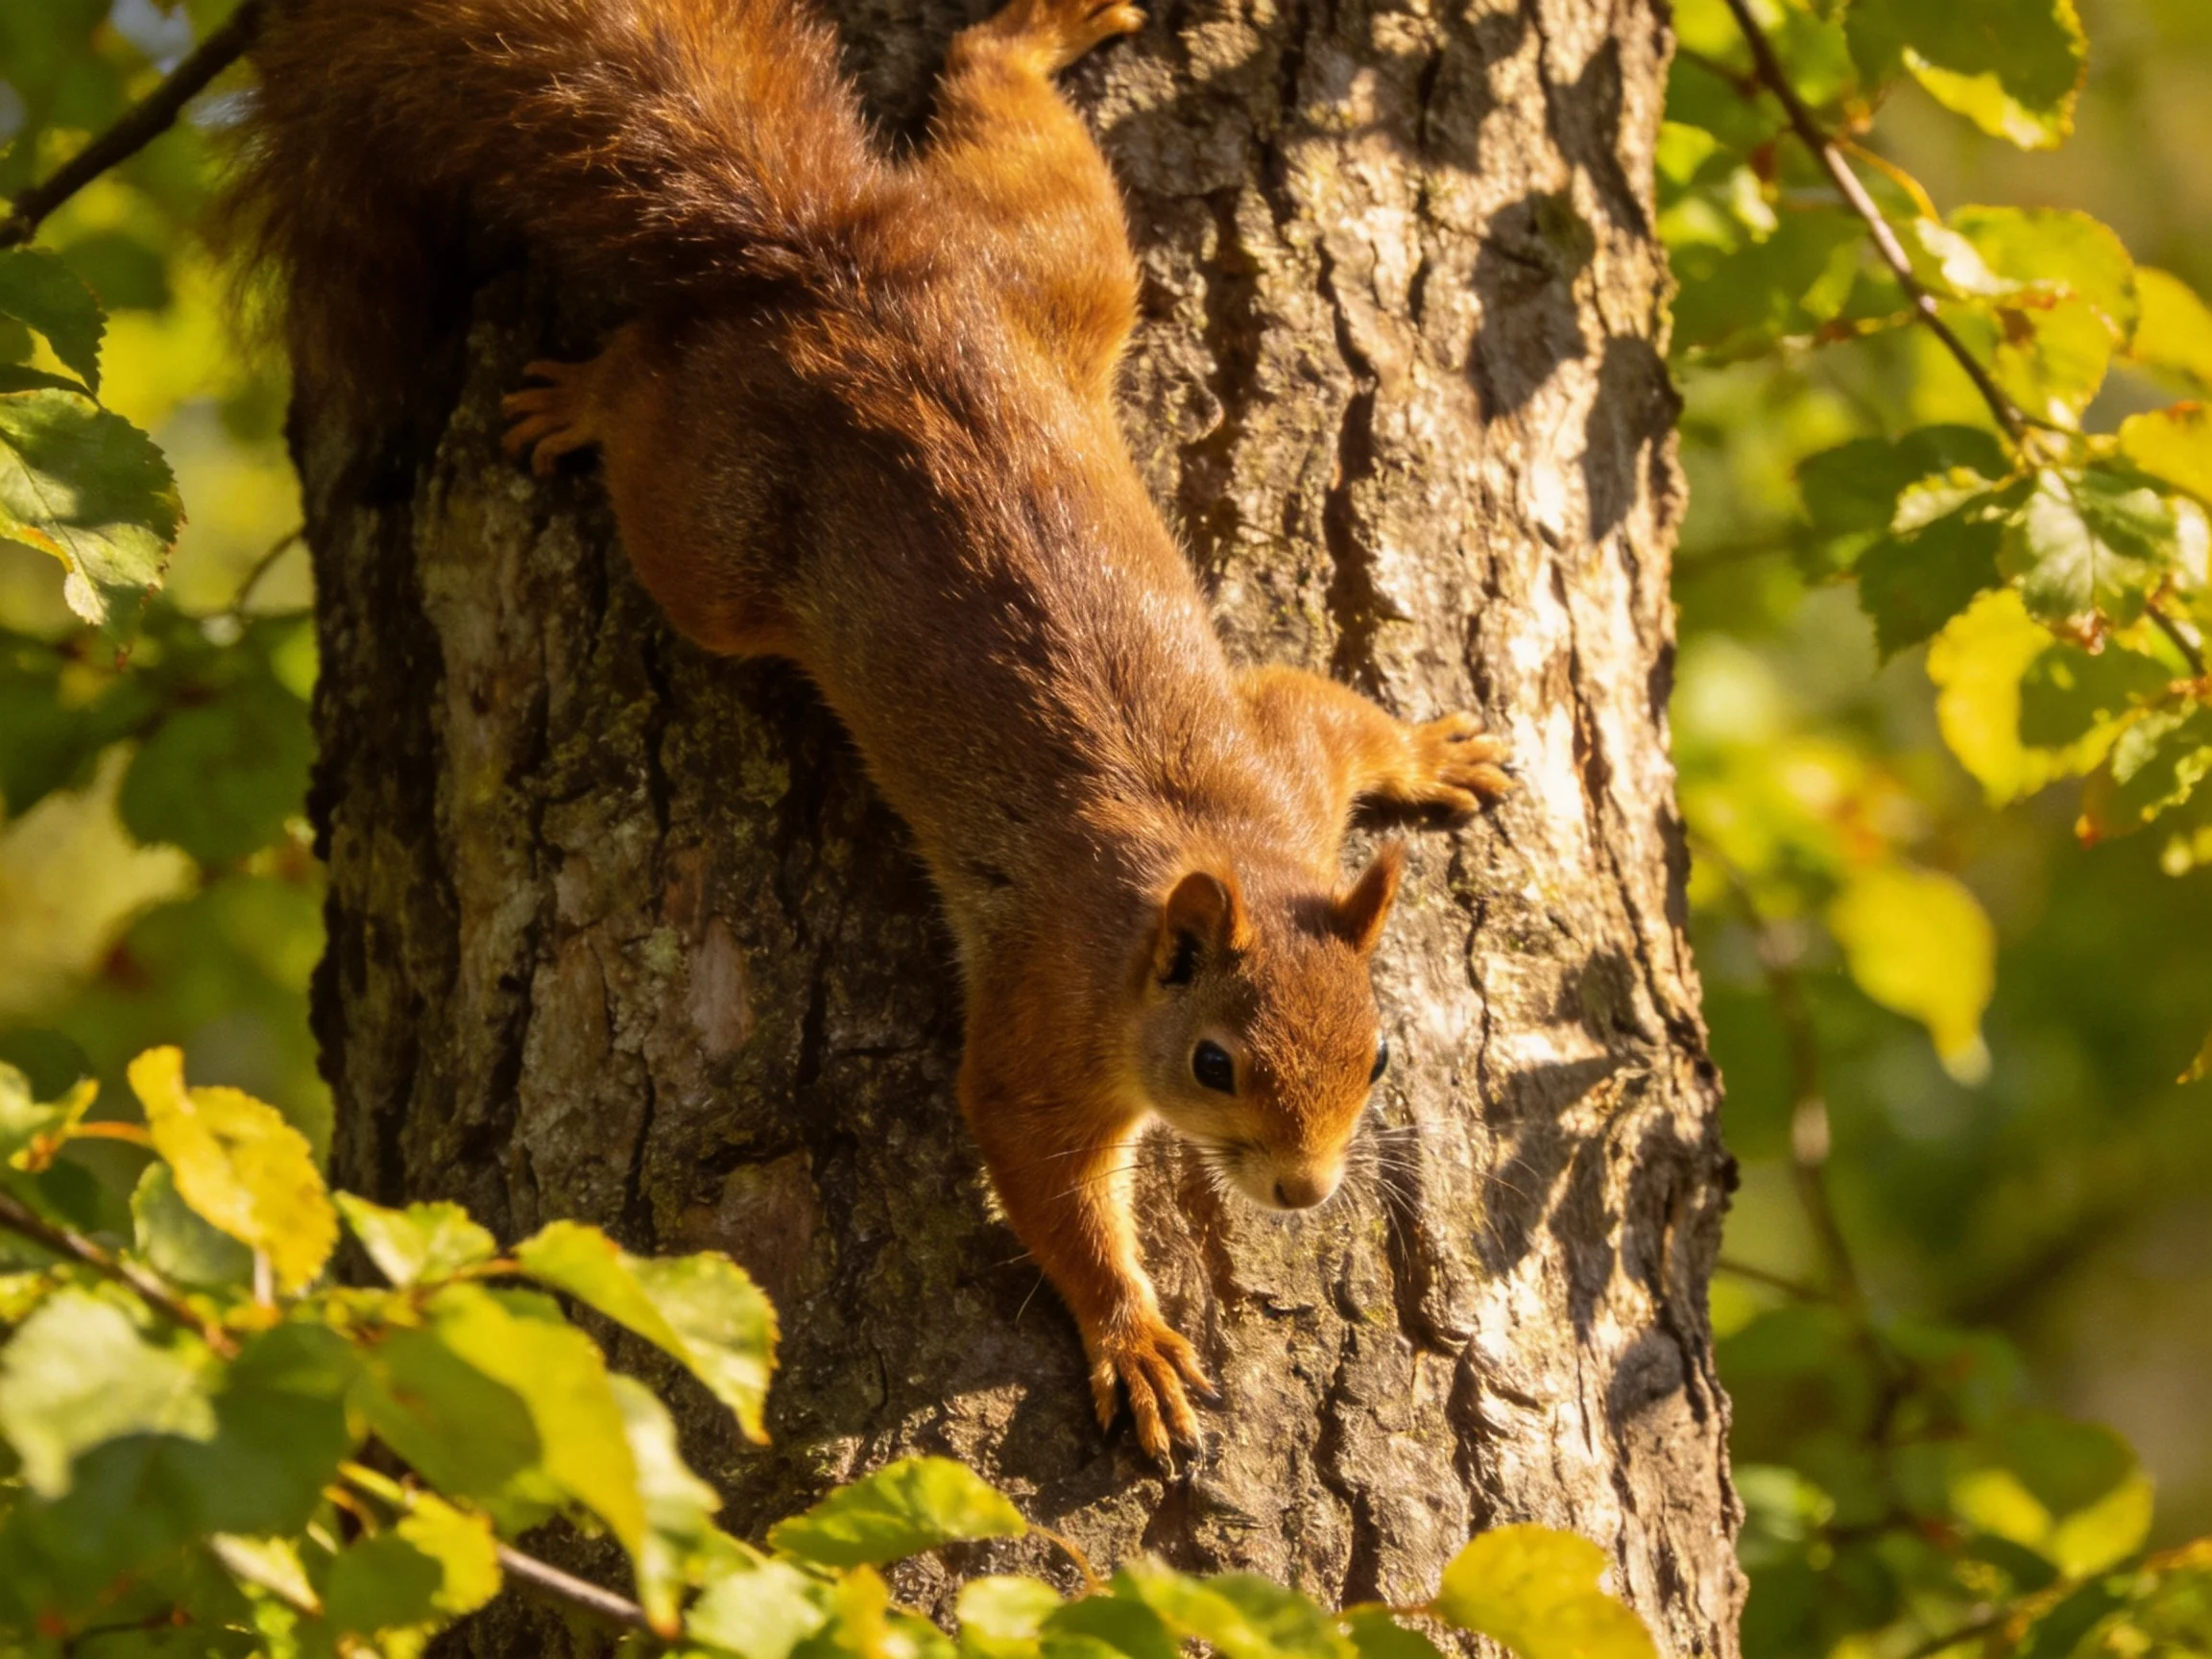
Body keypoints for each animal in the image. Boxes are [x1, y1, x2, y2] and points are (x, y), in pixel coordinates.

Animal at [230, 0, 1513, 1460]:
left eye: (1378, 1053)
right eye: (1214, 1062)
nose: (1302, 1193)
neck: (1216, 859)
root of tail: (831, 262)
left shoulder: (1290, 770)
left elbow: (1326, 711)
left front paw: (1433, 756)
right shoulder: (1048, 1009)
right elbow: (1041, 1171)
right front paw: (1130, 1337)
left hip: (1053, 264)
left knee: (1019, 138)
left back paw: (1032, 34)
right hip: (716, 529)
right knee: (654, 396)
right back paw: (590, 397)